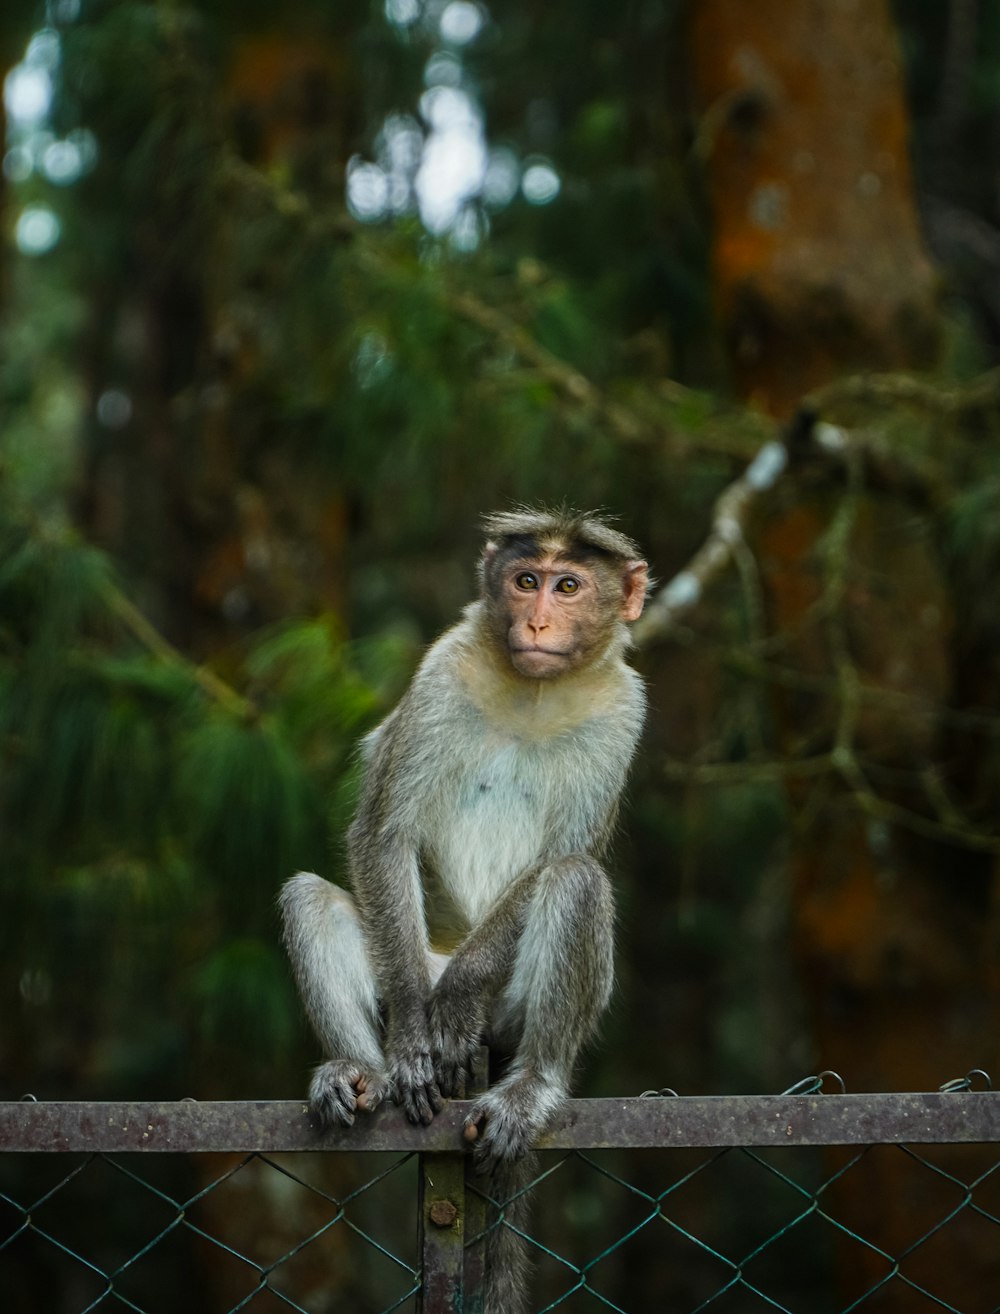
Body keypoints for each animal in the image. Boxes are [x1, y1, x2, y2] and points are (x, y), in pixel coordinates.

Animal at [277, 504, 646, 1303]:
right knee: (309, 899)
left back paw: (528, 1084)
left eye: (569, 586)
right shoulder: (443, 672)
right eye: (525, 580)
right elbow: (383, 834)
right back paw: (363, 1070)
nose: (536, 621)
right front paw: (417, 1033)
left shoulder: (625, 711)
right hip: (408, 955)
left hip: (507, 1017)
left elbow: (562, 857)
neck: (534, 693)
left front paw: (452, 1005)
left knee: (575, 880)